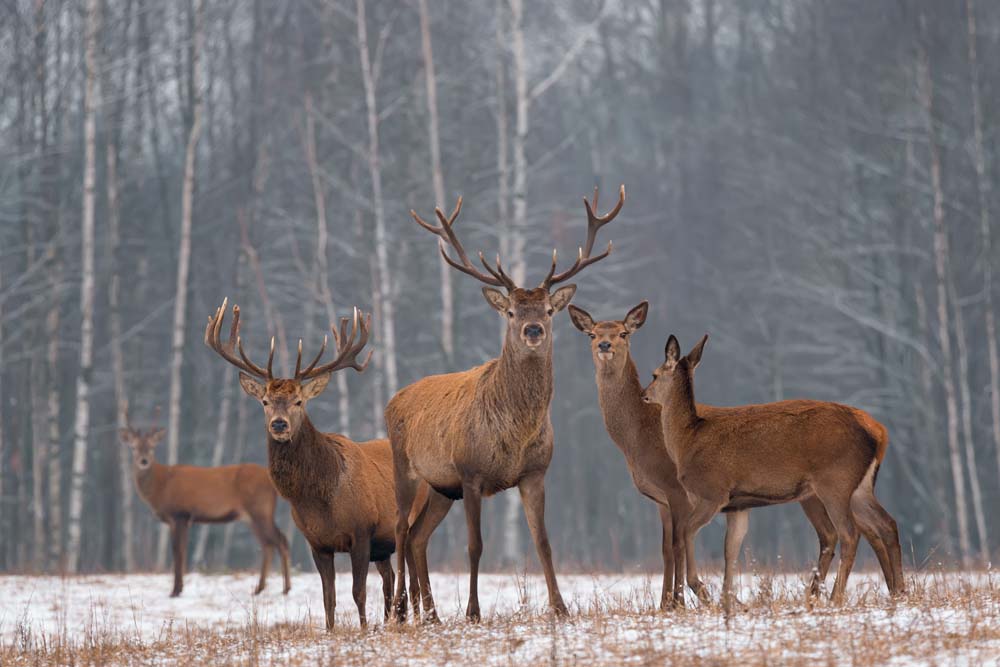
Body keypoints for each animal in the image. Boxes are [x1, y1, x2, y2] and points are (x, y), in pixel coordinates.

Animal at [119, 408, 290, 600]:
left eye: (151, 447)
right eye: (133, 447)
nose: (143, 461)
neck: (161, 485)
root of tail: (271, 482)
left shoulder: (180, 514)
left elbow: (178, 552)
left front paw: (175, 590)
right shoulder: (178, 519)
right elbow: (181, 551)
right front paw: (179, 588)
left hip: (260, 509)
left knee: (280, 540)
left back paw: (286, 588)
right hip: (251, 516)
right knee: (267, 544)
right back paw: (259, 588)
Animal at [205, 300, 428, 628]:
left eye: (299, 401)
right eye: (265, 402)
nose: (279, 424)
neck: (320, 499)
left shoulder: (362, 531)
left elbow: (358, 592)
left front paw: (363, 629)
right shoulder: (316, 543)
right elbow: (328, 598)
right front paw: (332, 631)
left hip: (409, 522)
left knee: (410, 576)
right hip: (383, 546)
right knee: (389, 579)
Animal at [388, 185, 624, 624]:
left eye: (548, 309)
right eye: (512, 311)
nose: (533, 329)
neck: (514, 434)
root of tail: (395, 398)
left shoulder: (534, 473)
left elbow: (544, 542)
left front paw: (560, 607)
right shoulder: (470, 473)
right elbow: (475, 546)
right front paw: (473, 611)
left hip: (440, 487)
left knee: (416, 537)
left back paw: (430, 614)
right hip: (405, 468)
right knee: (399, 529)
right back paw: (397, 611)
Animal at [568, 302, 848, 612]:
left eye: (623, 333)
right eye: (592, 333)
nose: (604, 345)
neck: (639, 440)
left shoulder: (677, 490)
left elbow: (677, 543)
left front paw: (678, 602)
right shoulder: (661, 498)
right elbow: (665, 548)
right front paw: (664, 604)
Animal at [640, 334, 908, 616]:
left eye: (654, 374)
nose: (644, 395)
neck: (687, 441)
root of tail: (879, 434)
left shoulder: (712, 492)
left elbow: (686, 532)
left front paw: (700, 588)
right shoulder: (738, 505)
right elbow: (730, 549)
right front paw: (728, 601)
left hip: (835, 482)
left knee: (849, 533)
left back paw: (836, 598)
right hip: (860, 487)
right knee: (887, 523)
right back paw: (900, 592)